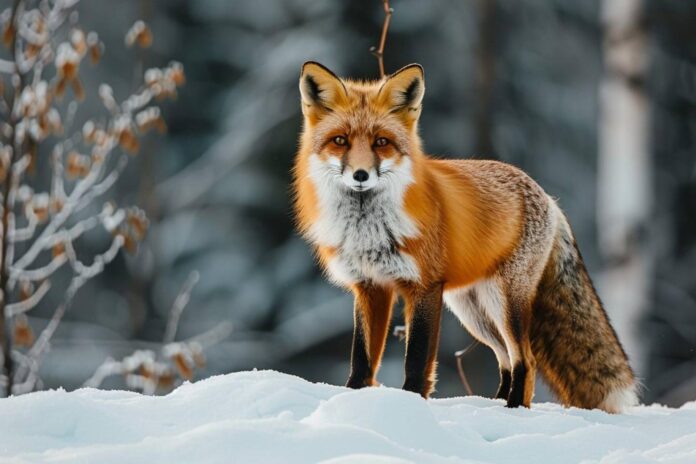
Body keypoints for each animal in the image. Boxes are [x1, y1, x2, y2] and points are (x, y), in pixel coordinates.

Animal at [292, 61, 638, 413]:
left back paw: (513, 410)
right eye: (340, 140)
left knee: (525, 359)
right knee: (506, 359)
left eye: (381, 142)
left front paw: (410, 406)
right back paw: (494, 406)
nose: (360, 175)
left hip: (504, 303)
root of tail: (547, 196)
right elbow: (361, 360)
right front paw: (352, 400)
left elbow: (416, 361)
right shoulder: (369, 286)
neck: (368, 229)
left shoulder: (424, 287)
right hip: (473, 312)